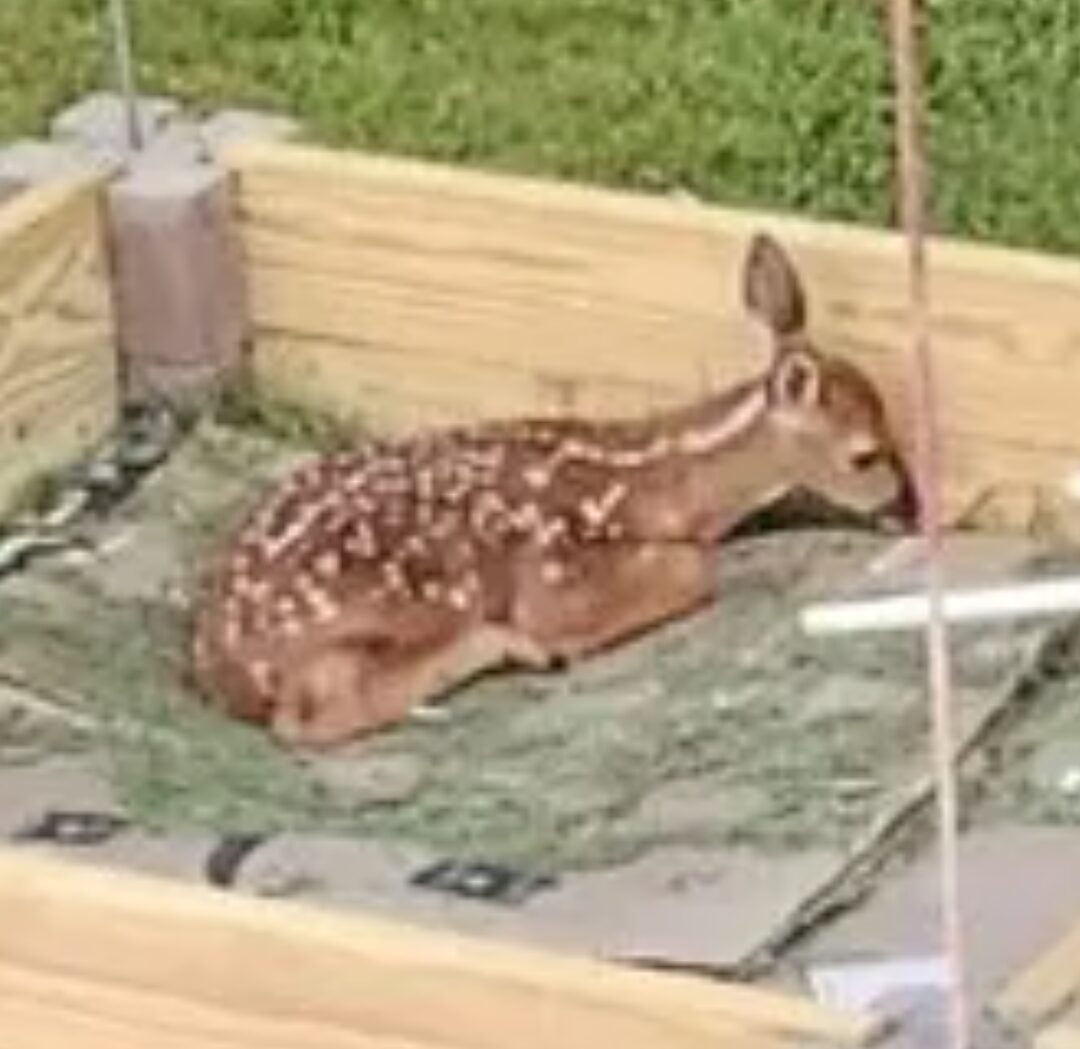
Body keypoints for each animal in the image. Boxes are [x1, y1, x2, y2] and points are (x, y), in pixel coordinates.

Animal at [190, 233, 916, 748]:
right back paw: (505, 647)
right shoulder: (556, 568)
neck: (669, 480)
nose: (909, 509)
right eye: (867, 454)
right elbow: (687, 570)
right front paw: (556, 640)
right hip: (424, 589)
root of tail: (223, 661)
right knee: (308, 715)